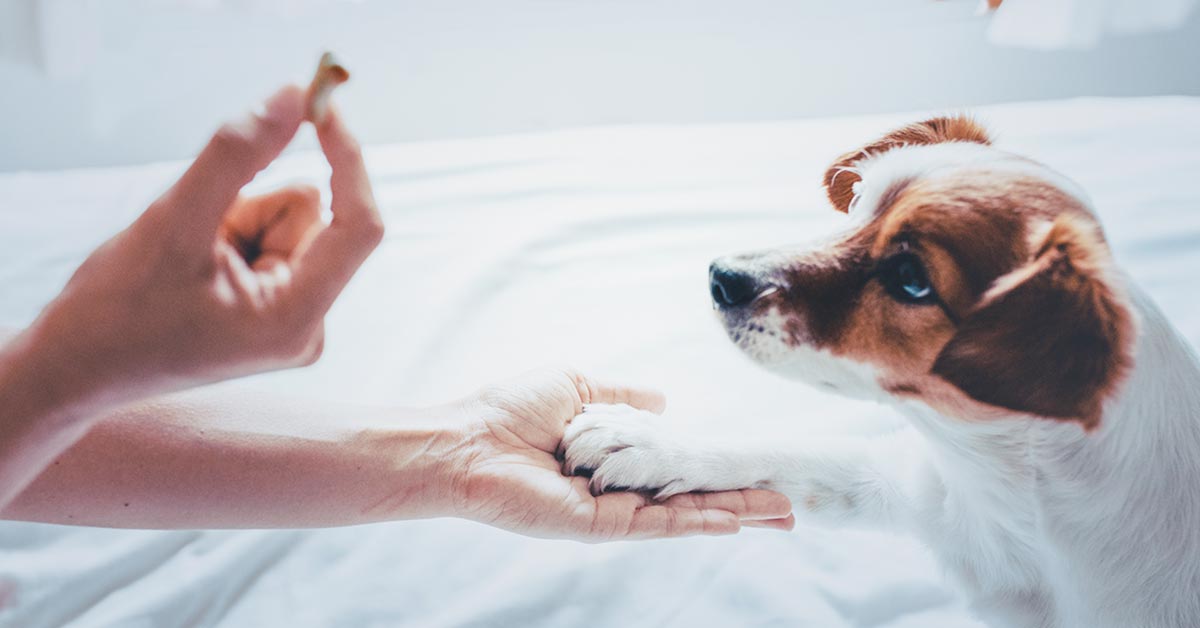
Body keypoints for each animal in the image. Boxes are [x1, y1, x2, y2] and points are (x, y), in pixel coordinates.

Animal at [559, 117, 1200, 628]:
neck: (1000, 483)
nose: (722, 276)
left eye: (911, 279)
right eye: (859, 204)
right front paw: (653, 443)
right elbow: (792, 452)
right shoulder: (906, 487)